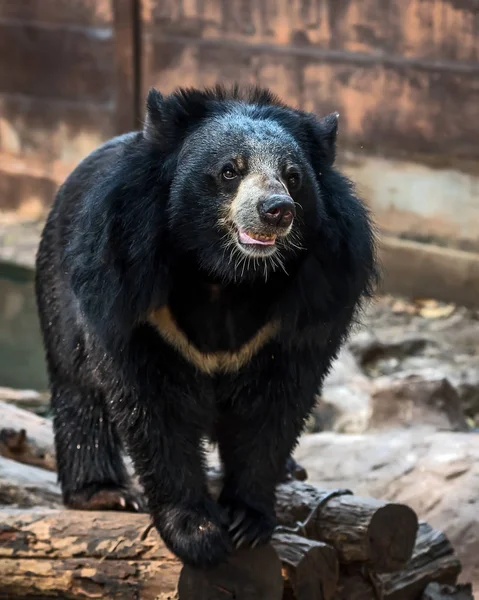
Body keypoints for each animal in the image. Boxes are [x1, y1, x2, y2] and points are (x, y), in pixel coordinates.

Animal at [35, 84, 376, 568]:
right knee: (76, 382)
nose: (276, 210)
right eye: (230, 170)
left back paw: (291, 471)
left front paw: (248, 520)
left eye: (293, 177)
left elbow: (275, 408)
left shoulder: (313, 299)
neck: (226, 275)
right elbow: (153, 407)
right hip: (59, 281)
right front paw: (196, 531)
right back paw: (103, 492)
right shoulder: (132, 293)